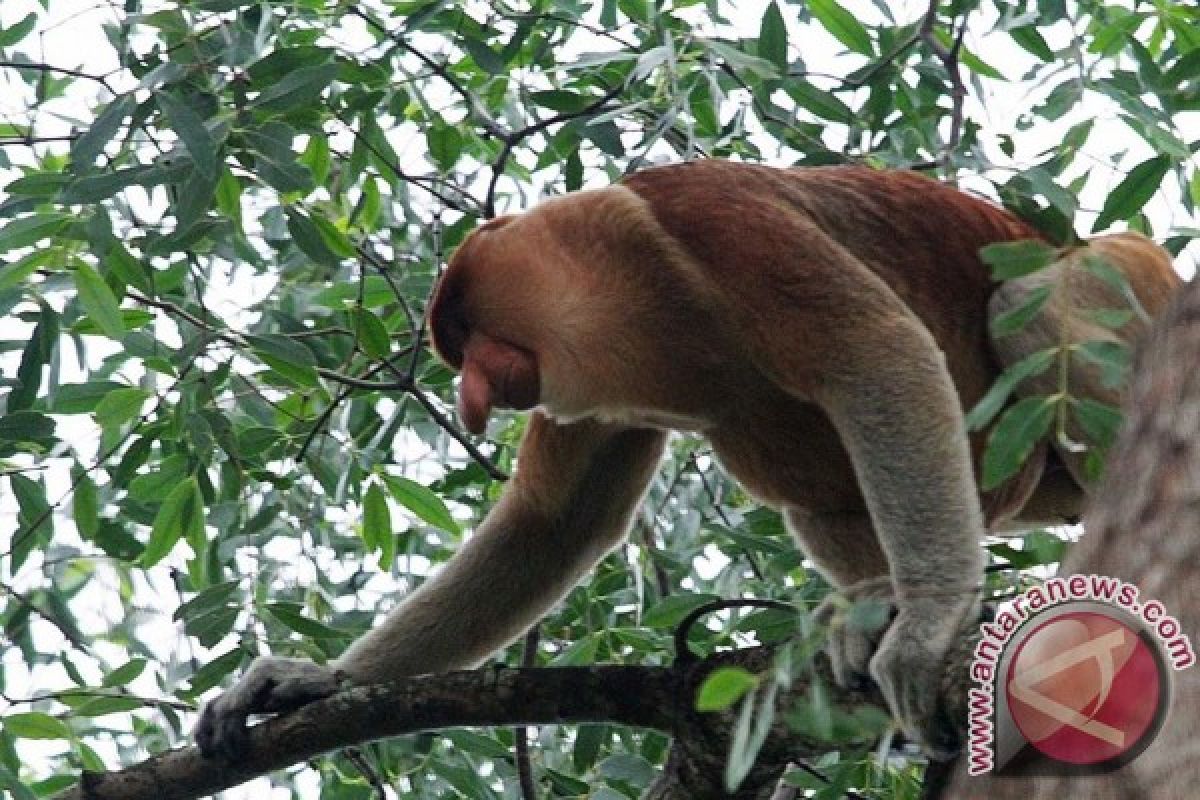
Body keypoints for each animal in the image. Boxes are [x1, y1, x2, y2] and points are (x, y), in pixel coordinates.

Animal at [196, 160, 1180, 758]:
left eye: (468, 334)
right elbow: (553, 526)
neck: (638, 270)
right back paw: (863, 614)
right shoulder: (590, 385)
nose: (472, 399)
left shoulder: (714, 220)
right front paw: (303, 680)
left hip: (1131, 290)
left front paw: (929, 624)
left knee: (1029, 300)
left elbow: (878, 354)